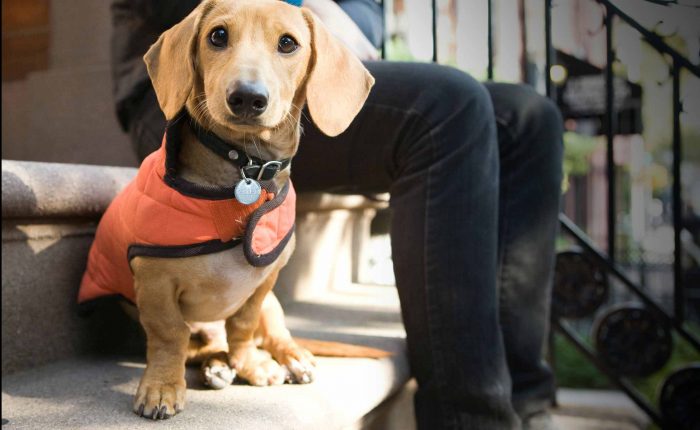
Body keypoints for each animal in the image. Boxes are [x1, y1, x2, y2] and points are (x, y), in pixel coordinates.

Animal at [77, 0, 374, 420]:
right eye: (217, 35)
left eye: (288, 43)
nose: (247, 97)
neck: (243, 167)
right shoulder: (154, 282)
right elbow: (169, 335)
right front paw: (161, 387)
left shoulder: (263, 283)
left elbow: (244, 325)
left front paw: (250, 364)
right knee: (201, 346)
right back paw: (217, 367)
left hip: (274, 306)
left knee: (273, 333)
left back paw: (289, 357)